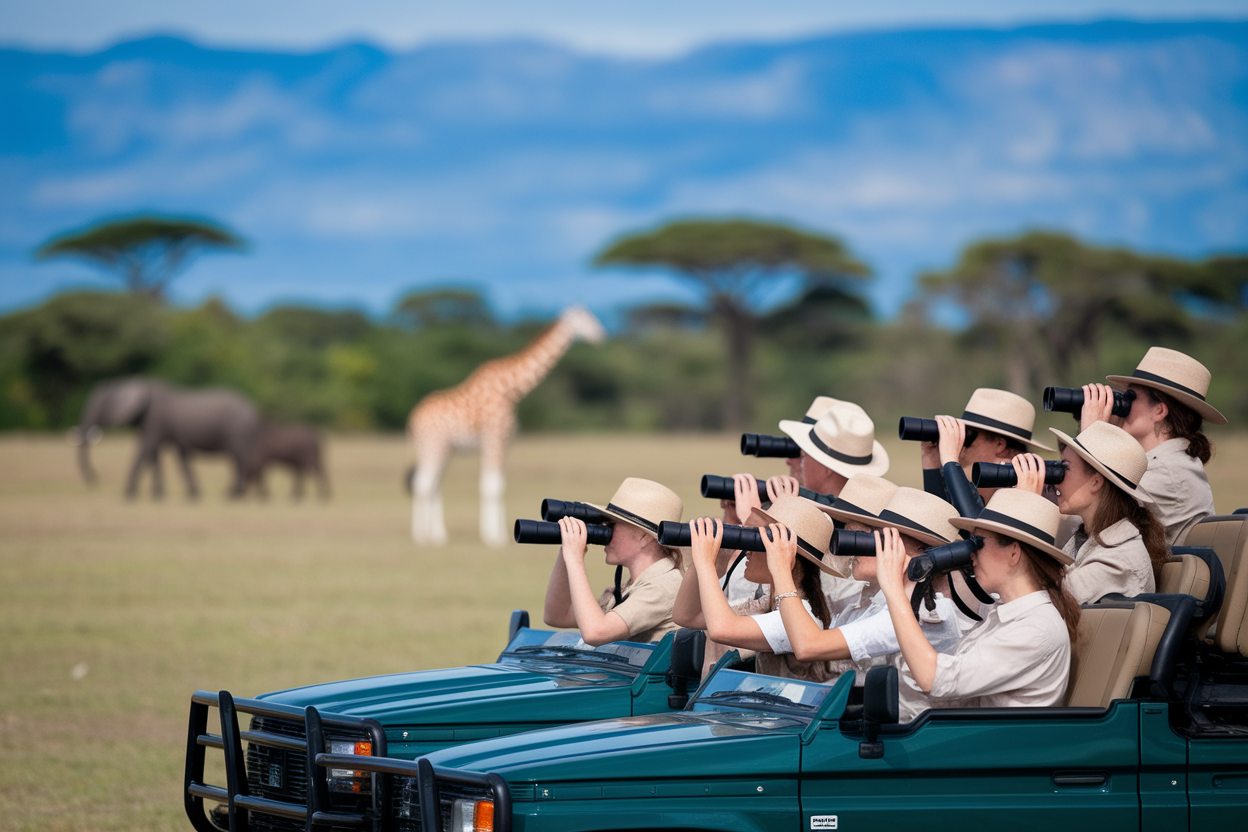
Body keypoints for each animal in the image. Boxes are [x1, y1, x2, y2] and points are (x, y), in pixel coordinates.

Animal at [71, 377, 262, 499]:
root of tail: (254, 409)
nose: (95, 478)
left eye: (104, 404)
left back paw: (234, 495)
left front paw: (128, 494)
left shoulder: (154, 419)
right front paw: (160, 495)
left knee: (240, 459)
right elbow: (159, 455)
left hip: (238, 431)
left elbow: (146, 451)